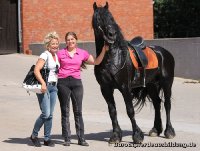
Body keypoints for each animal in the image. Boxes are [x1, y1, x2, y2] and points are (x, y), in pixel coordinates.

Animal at [92, 2, 175, 144]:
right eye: (99, 18)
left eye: (111, 18)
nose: (111, 34)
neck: (113, 58)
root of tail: (165, 52)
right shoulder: (105, 89)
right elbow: (112, 111)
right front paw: (115, 136)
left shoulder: (125, 87)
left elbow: (130, 110)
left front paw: (137, 136)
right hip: (151, 85)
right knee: (157, 103)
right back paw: (155, 129)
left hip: (167, 83)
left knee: (167, 104)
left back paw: (169, 131)